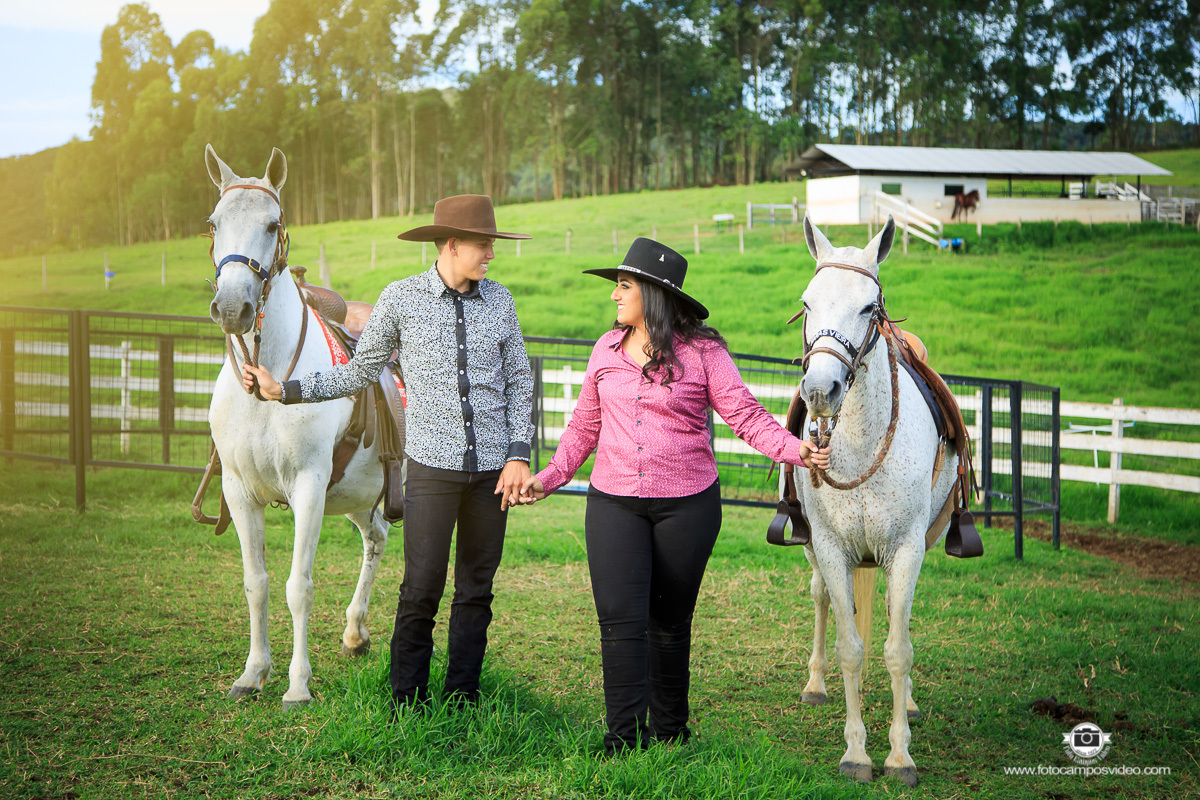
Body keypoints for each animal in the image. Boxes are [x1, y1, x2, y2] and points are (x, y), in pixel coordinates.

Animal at [204, 144, 391, 709]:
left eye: (273, 223)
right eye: (213, 223)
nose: (233, 308)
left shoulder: (308, 488)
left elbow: (298, 587)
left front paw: (298, 683)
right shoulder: (239, 491)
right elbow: (257, 584)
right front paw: (253, 673)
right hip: (358, 497)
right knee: (376, 538)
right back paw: (355, 632)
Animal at [791, 213, 965, 786]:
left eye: (870, 307)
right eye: (807, 303)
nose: (821, 390)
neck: (861, 440)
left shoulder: (906, 550)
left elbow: (897, 651)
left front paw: (900, 754)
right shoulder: (831, 548)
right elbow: (851, 649)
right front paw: (856, 754)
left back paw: (905, 703)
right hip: (816, 552)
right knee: (821, 599)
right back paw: (815, 685)